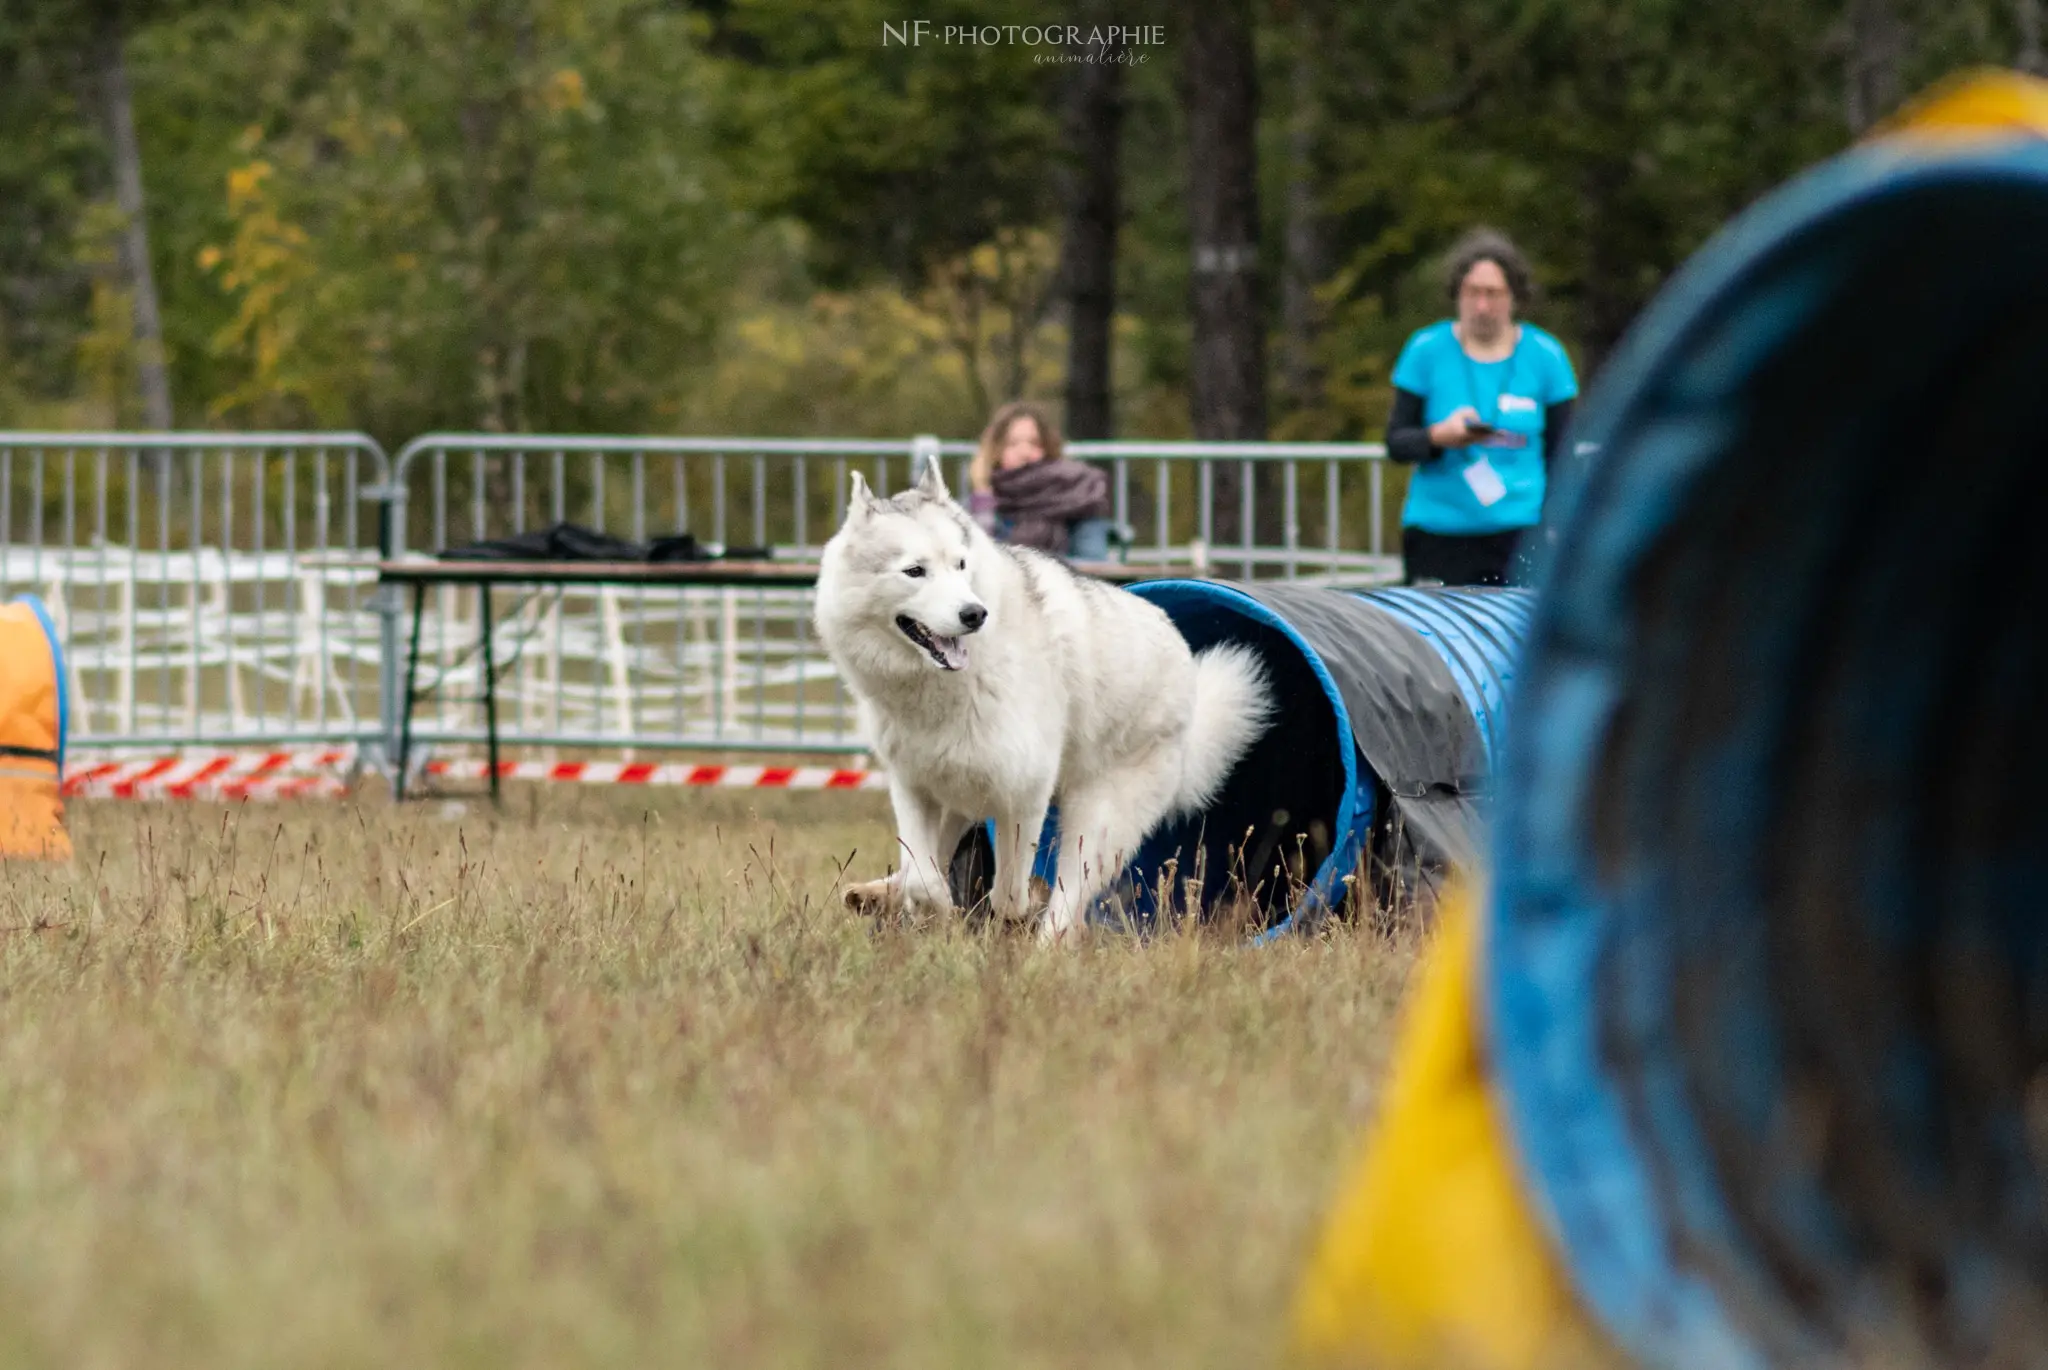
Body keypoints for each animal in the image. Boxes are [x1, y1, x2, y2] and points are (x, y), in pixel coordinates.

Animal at [811, 458, 1261, 942]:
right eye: (915, 571)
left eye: (960, 565)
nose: (975, 614)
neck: (945, 687)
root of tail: (1185, 665)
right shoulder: (915, 784)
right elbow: (922, 873)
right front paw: (929, 906)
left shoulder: (1024, 791)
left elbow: (1009, 889)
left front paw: (1006, 911)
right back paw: (876, 893)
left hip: (1095, 821)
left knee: (1068, 902)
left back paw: (1044, 945)